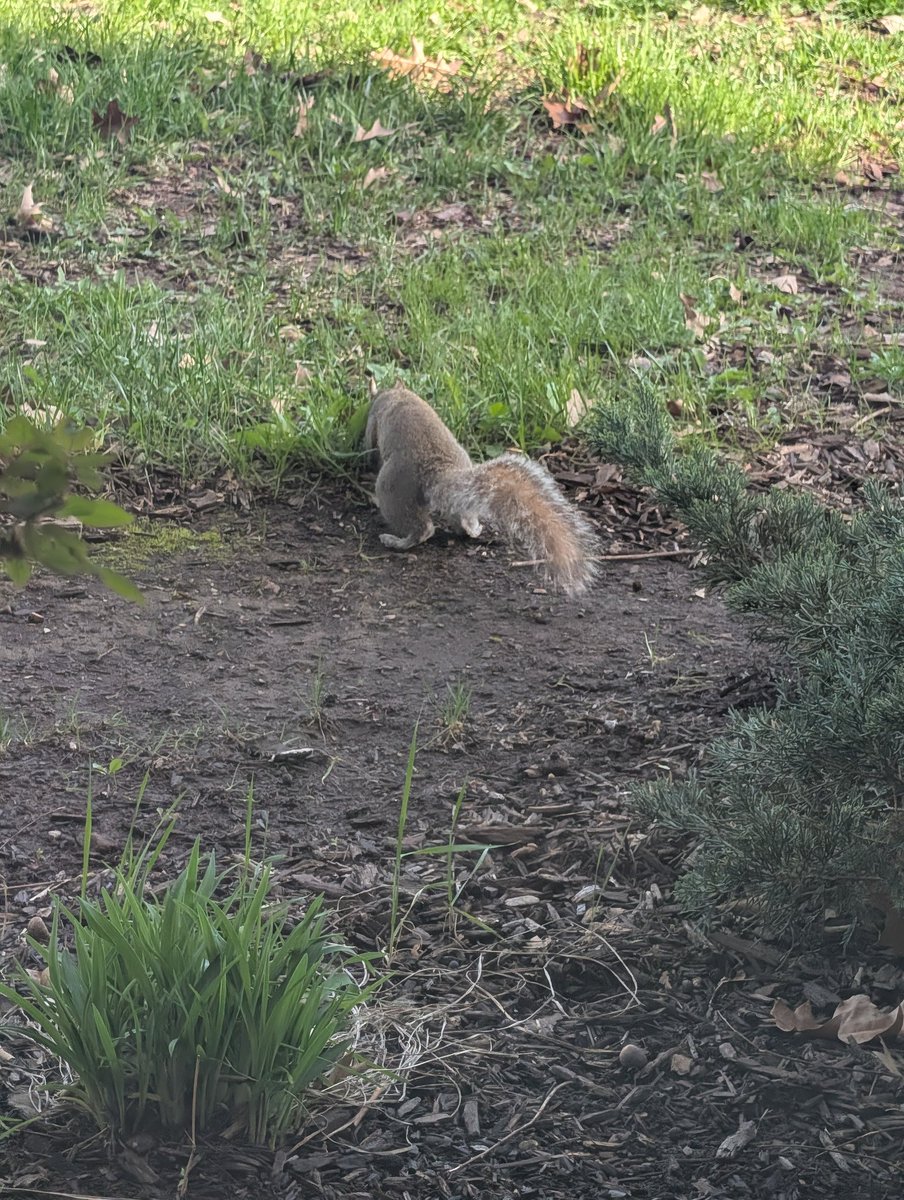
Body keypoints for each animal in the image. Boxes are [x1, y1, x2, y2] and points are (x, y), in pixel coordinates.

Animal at [364, 383, 596, 596]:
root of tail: (439, 473)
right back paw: (473, 529)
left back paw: (396, 541)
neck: (399, 394)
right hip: (459, 499)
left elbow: (369, 441)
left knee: (422, 529)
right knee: (461, 518)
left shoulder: (374, 417)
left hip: (393, 490)